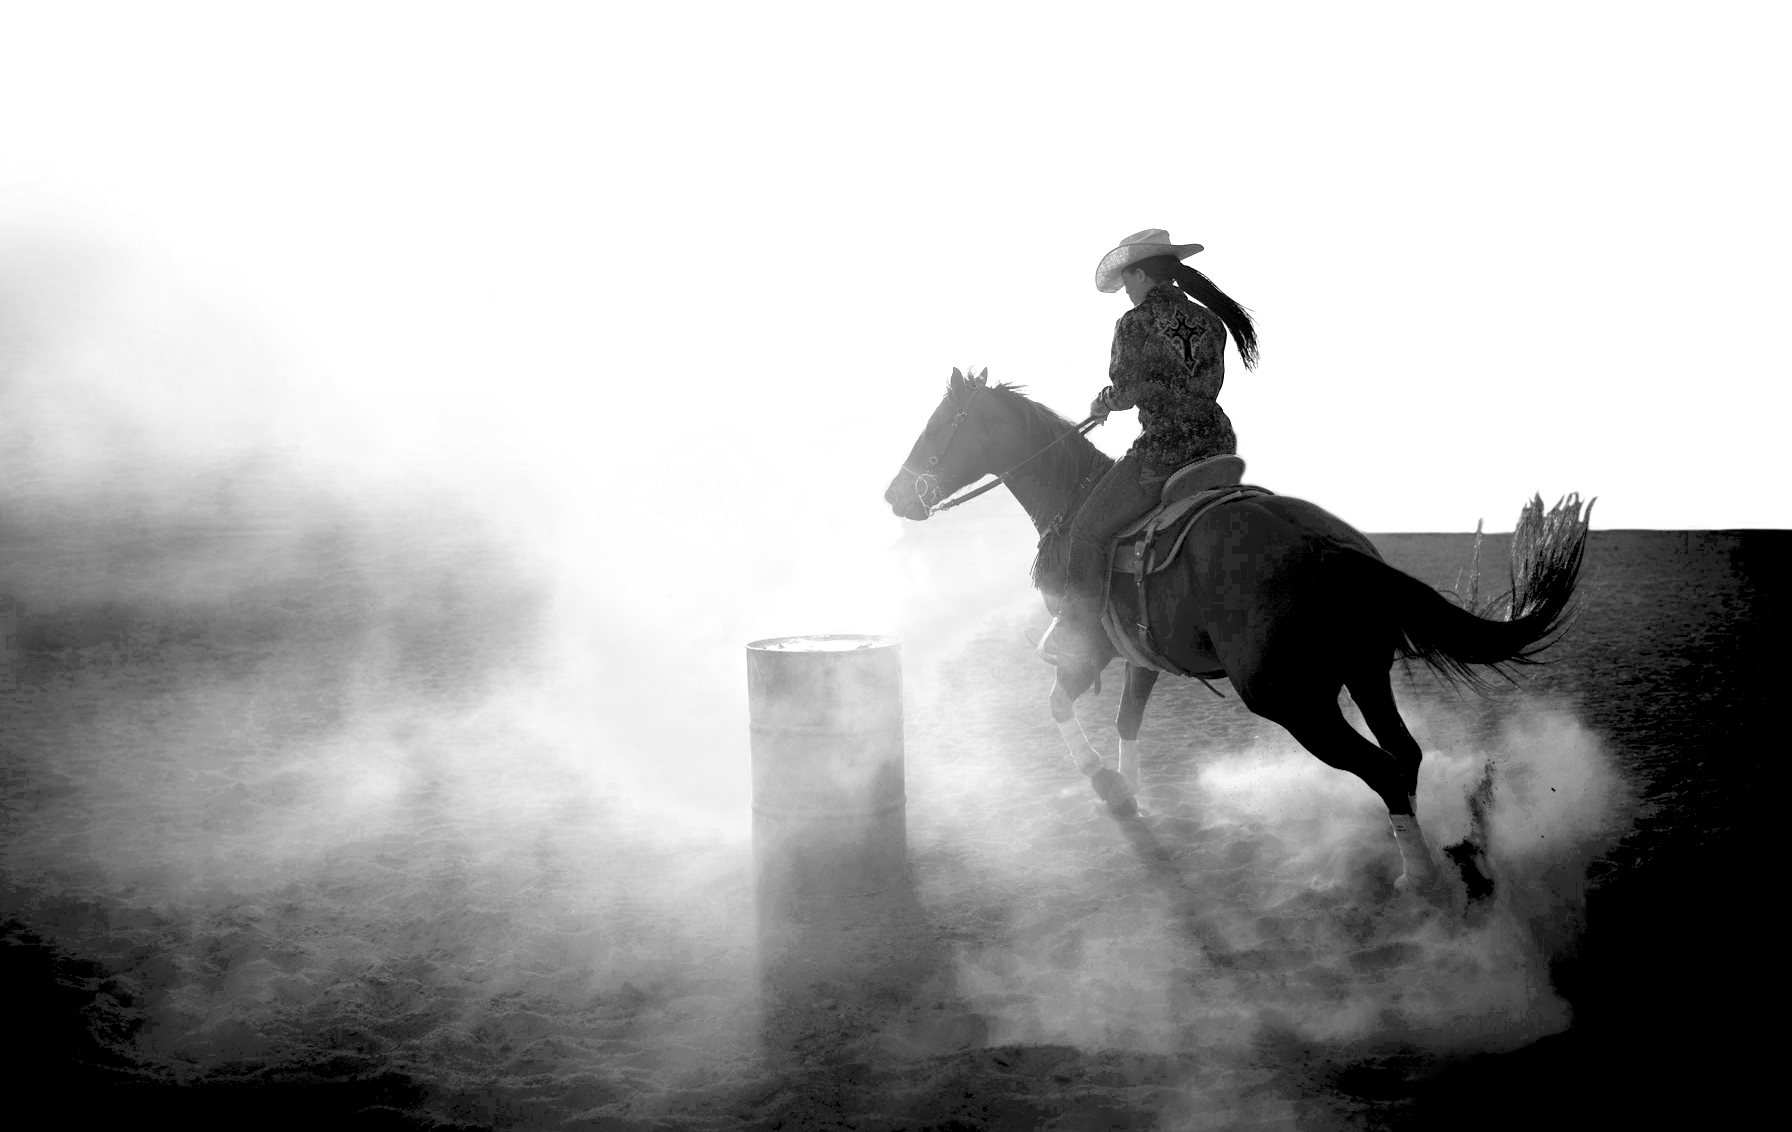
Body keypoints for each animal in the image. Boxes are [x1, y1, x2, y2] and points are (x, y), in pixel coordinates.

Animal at [881, 367, 1584, 888]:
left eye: (938, 424)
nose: (894, 497)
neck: (1073, 496)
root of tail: (1328, 545)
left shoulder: (1091, 652)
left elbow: (1057, 702)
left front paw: (1108, 787)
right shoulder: (1140, 657)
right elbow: (1127, 720)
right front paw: (1129, 791)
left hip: (1292, 700)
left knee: (1382, 767)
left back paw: (1418, 884)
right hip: (1363, 672)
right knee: (1405, 755)